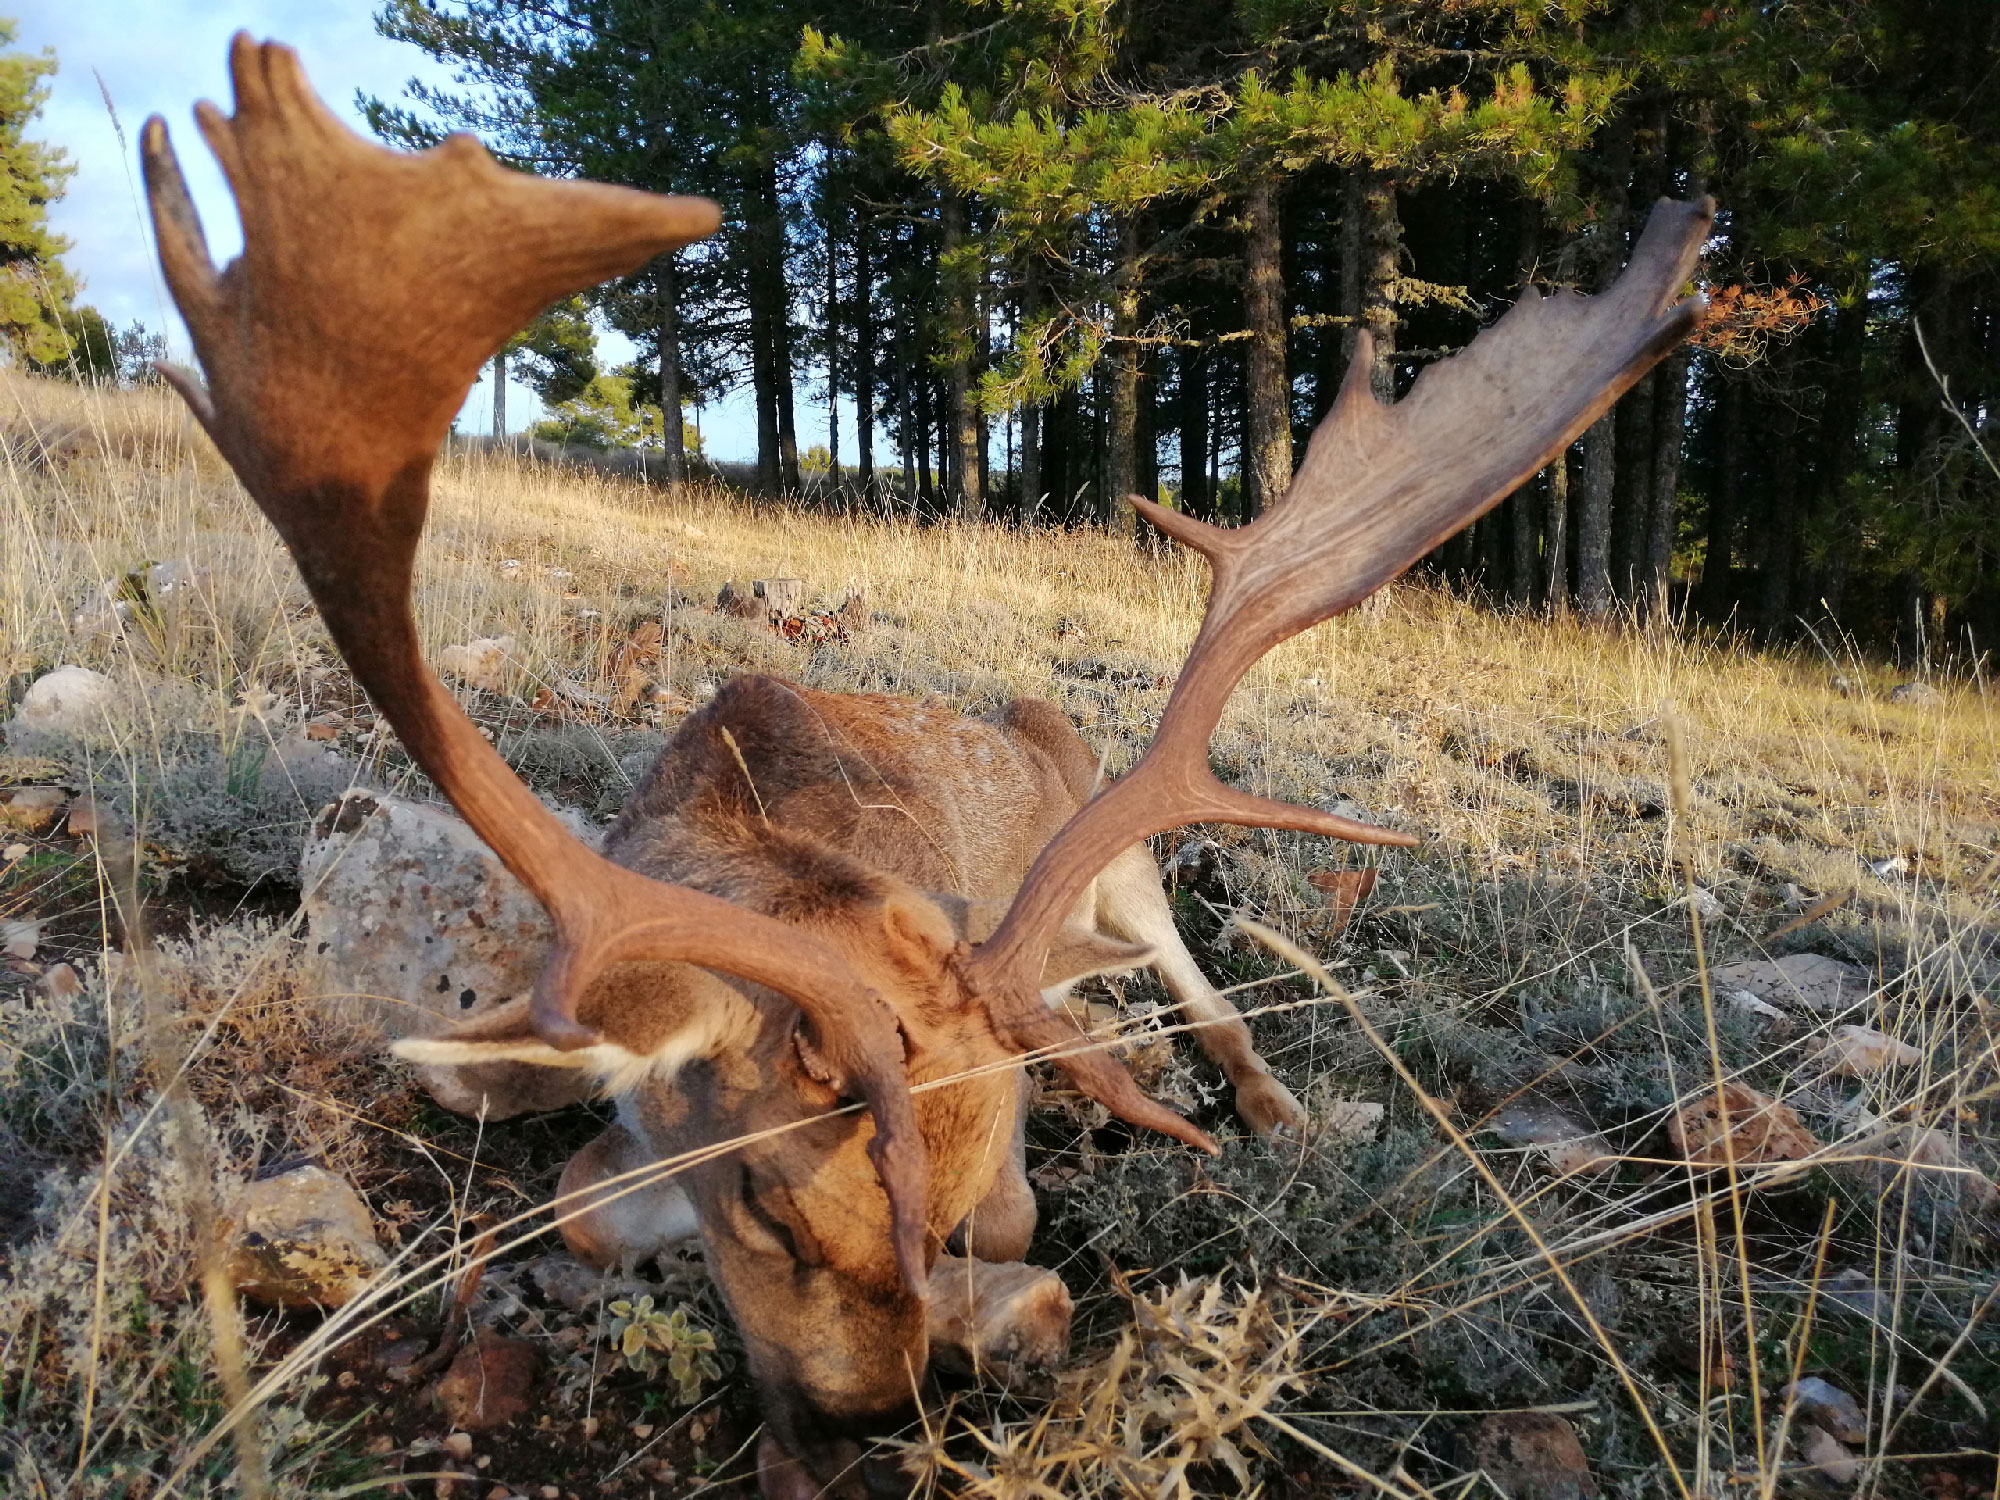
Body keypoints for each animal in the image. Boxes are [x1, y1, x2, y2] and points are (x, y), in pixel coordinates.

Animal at [145, 38, 1704, 1500]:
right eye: (769, 1209)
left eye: (951, 1213)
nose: (854, 1426)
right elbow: (583, 1197)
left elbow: (1026, 1211)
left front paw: (1013, 1293)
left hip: (1125, 868)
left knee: (1205, 991)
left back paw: (1264, 1105)